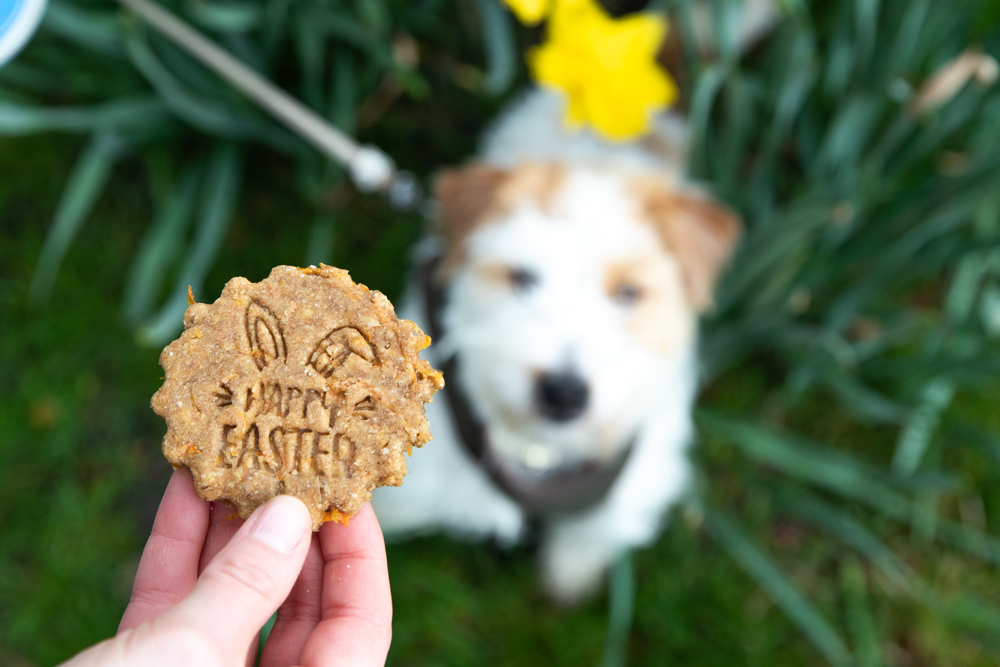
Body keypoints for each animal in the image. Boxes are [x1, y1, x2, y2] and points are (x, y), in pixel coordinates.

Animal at [374, 86, 744, 604]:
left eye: (628, 293)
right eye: (522, 279)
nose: (565, 392)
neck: (540, 449)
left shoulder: (621, 499)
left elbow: (581, 547)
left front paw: (567, 589)